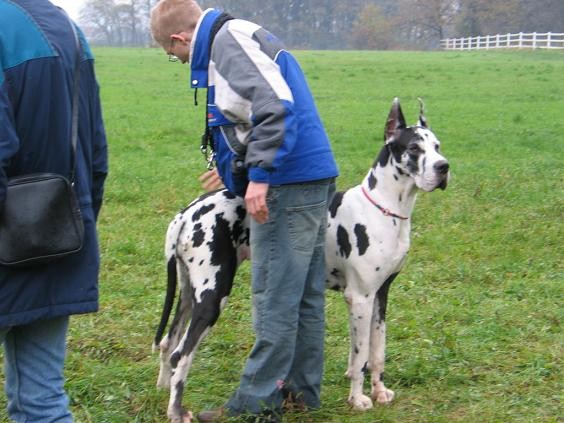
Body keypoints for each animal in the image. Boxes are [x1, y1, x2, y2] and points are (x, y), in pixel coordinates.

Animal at [153, 97, 450, 422]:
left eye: (437, 146)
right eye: (414, 149)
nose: (443, 167)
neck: (383, 206)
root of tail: (186, 213)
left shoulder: (379, 295)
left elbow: (376, 351)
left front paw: (380, 391)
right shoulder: (360, 297)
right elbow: (361, 354)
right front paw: (358, 398)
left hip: (189, 295)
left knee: (169, 342)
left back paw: (163, 390)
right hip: (212, 296)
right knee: (182, 353)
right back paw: (177, 410)